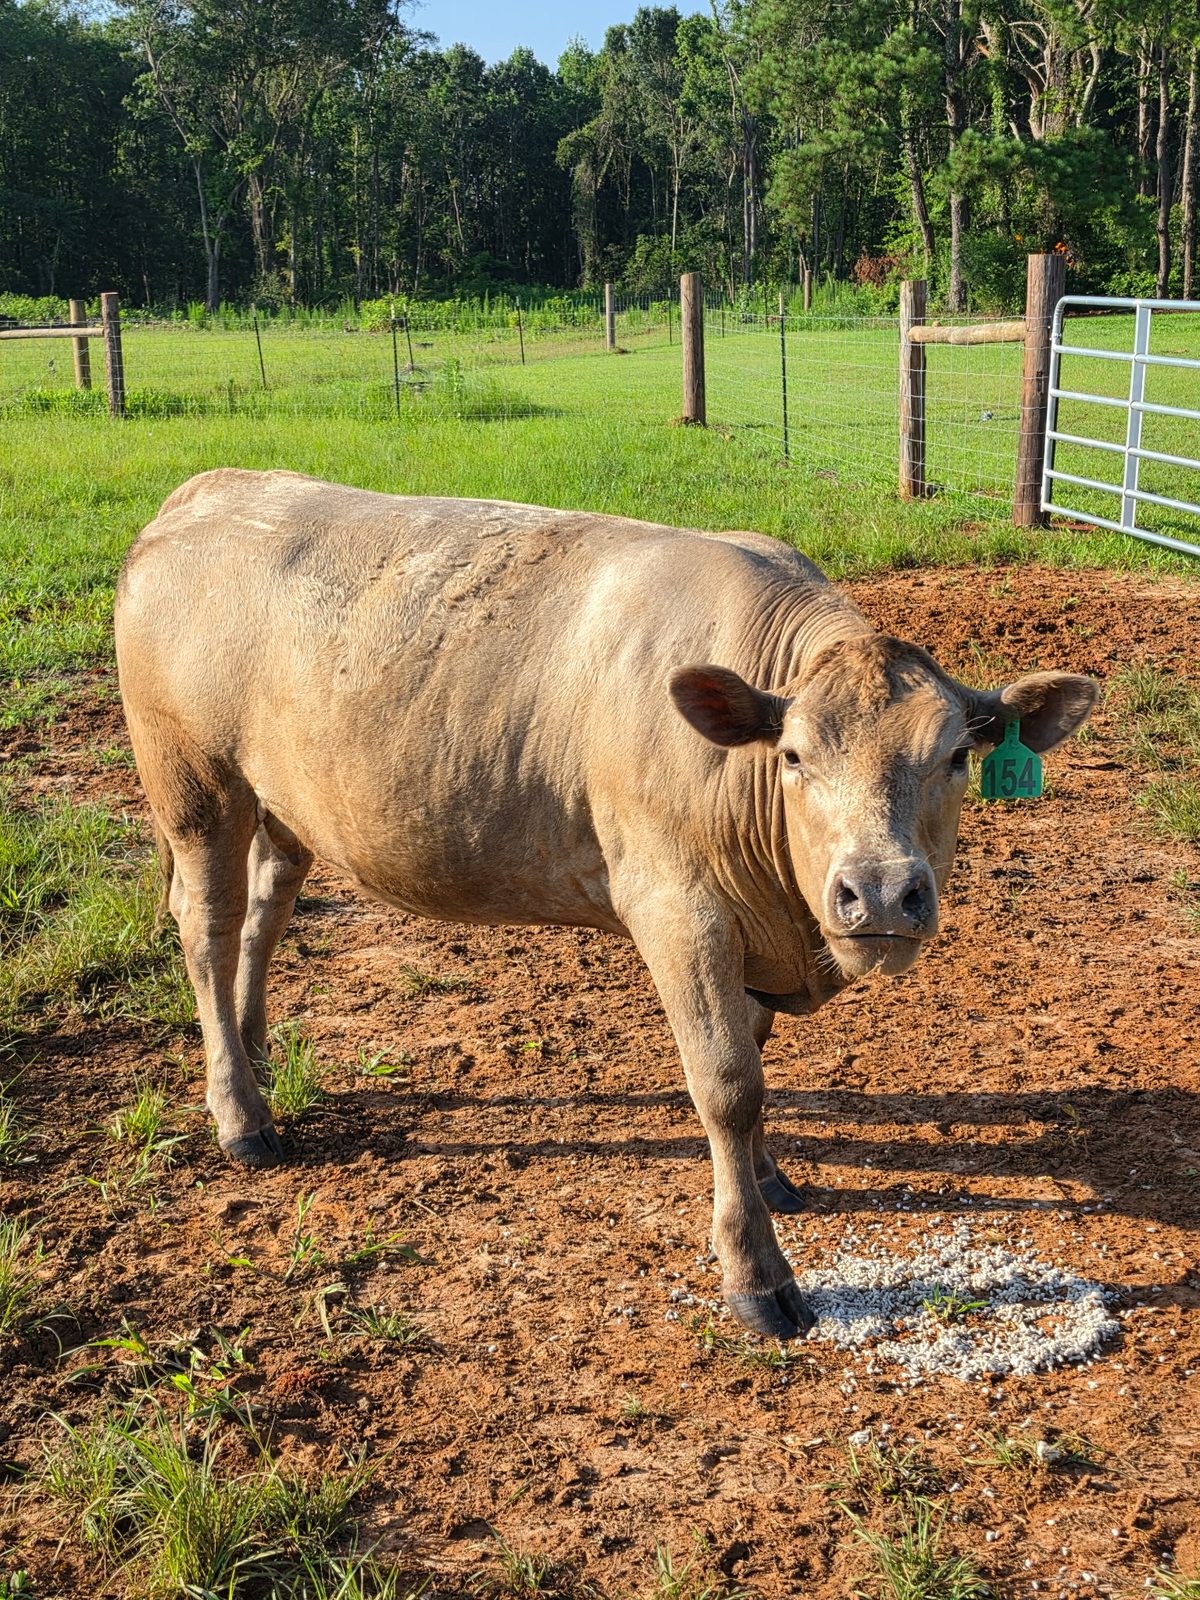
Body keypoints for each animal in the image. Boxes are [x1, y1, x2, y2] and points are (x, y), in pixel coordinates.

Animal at [114, 470, 1098, 1340]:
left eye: (957, 757)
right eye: (794, 756)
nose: (882, 890)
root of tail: (209, 488)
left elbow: (754, 1060)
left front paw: (772, 1175)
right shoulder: (678, 910)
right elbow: (728, 1083)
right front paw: (756, 1275)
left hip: (283, 803)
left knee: (264, 914)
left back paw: (255, 1057)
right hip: (194, 786)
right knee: (206, 928)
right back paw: (241, 1116)